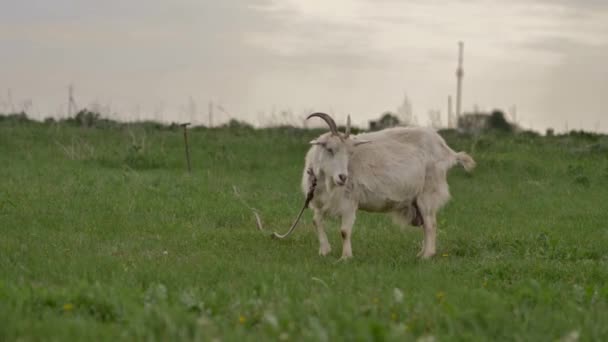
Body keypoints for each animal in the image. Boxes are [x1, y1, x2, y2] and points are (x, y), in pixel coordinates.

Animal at [304, 112, 476, 260]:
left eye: (349, 153)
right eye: (329, 149)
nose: (343, 177)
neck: (325, 180)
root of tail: (447, 152)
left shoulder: (348, 201)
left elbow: (344, 231)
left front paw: (345, 257)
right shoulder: (321, 202)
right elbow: (316, 221)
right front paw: (324, 251)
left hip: (427, 193)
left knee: (430, 224)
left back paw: (427, 255)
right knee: (426, 226)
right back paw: (421, 254)